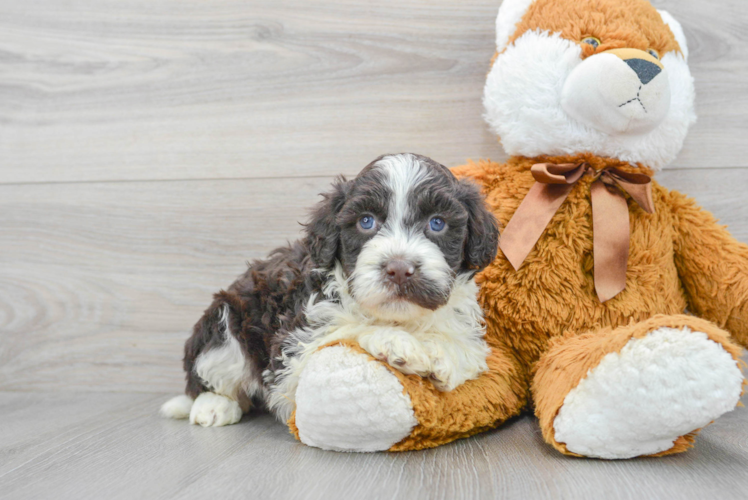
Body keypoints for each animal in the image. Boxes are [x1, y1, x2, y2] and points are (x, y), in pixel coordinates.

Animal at [161, 154, 500, 428]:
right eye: (366, 221)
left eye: (437, 223)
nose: (399, 269)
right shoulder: (291, 354)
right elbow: (347, 329)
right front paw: (397, 342)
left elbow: (470, 350)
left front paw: (443, 354)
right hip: (226, 319)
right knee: (213, 370)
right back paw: (214, 405)